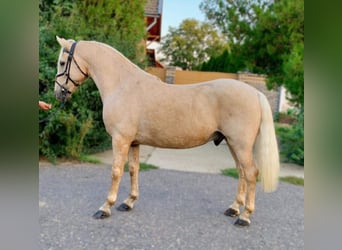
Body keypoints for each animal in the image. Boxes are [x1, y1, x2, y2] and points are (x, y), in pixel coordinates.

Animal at [52, 37, 278, 227]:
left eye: (62, 63)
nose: (58, 94)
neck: (123, 85)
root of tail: (255, 93)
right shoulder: (133, 142)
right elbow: (133, 169)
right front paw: (128, 202)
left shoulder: (120, 139)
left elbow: (116, 172)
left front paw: (105, 207)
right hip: (233, 144)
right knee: (242, 173)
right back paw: (233, 208)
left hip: (240, 144)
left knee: (251, 173)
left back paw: (245, 216)